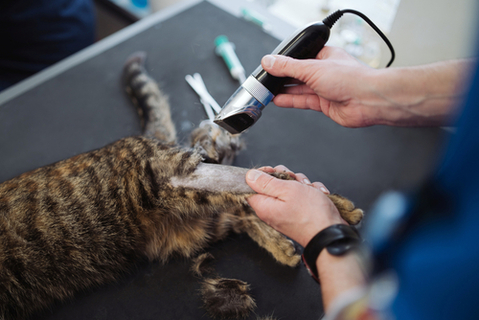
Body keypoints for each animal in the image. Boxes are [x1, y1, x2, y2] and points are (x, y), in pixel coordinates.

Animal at [0, 51, 364, 318]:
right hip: (193, 220)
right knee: (242, 206)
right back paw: (284, 243)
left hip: (173, 181)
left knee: (256, 180)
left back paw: (333, 206)